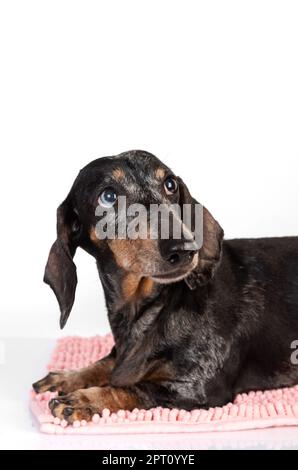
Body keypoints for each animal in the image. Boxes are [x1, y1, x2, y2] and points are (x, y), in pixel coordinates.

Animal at [32, 150, 298, 422]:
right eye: (108, 196)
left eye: (170, 184)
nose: (184, 248)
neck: (154, 306)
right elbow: (106, 364)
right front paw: (68, 377)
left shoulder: (198, 387)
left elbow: (133, 387)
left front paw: (86, 399)